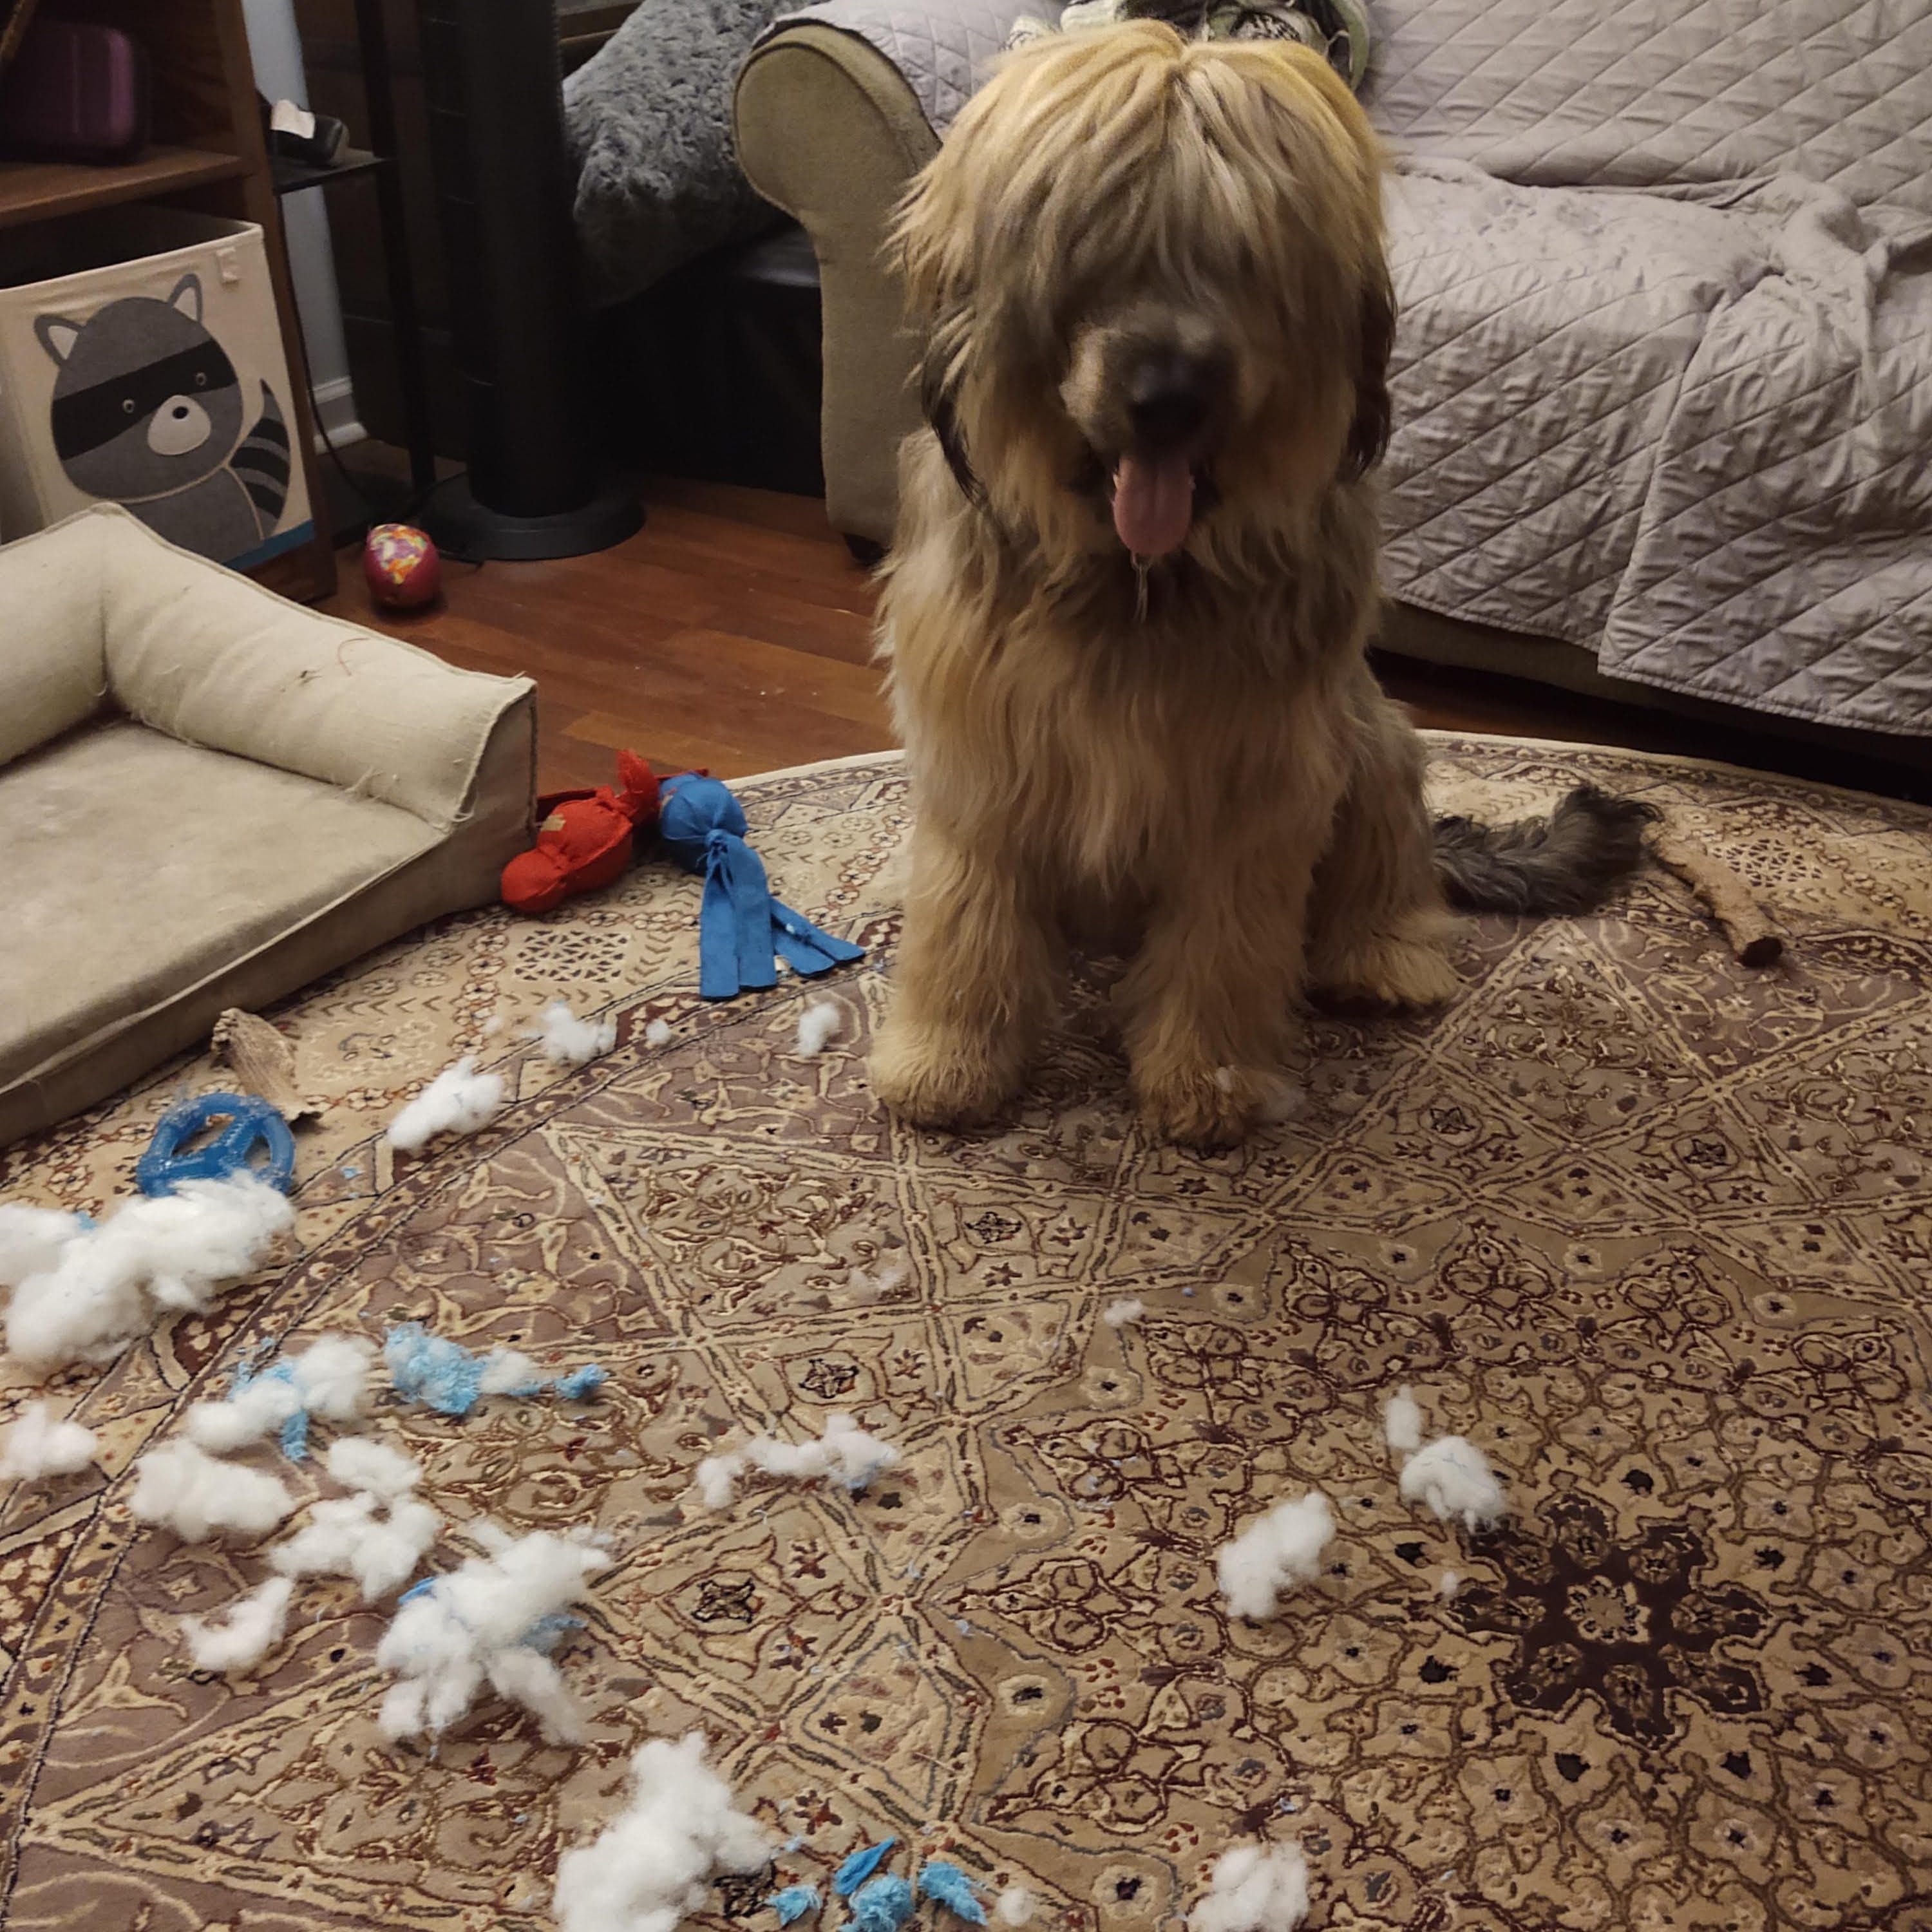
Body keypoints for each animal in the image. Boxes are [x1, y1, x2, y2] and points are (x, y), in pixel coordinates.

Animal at [869, 24, 1649, 1148]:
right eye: (1096, 252)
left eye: (1243, 266)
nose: (1169, 399)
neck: (1141, 582)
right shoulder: (984, 759)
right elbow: (969, 920)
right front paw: (949, 1060)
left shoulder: (1260, 782)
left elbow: (1227, 945)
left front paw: (1209, 1077)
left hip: (1373, 745)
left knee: (1394, 874)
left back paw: (1381, 956)